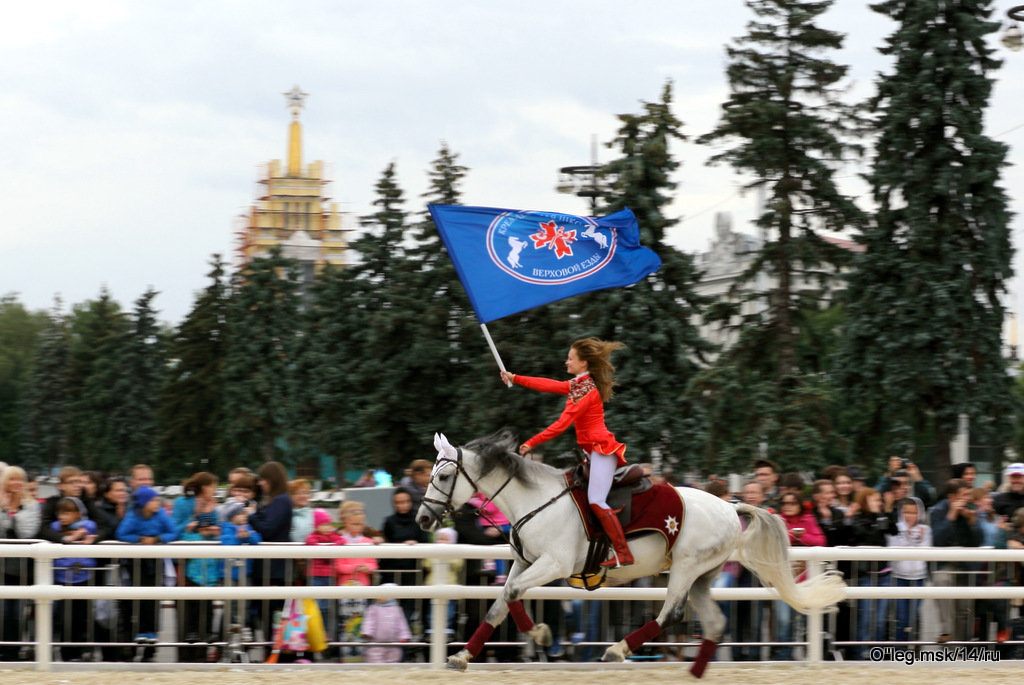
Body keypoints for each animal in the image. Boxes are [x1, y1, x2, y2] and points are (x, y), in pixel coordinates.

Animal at [417, 430, 847, 675]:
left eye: (444, 475)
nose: (422, 518)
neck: (537, 499)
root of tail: (731, 506)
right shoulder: (524, 562)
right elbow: (499, 603)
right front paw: (463, 656)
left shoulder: (552, 563)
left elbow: (513, 594)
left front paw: (540, 633)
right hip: (703, 576)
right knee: (714, 624)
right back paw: (694, 671)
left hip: (686, 568)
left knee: (670, 614)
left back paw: (617, 649)